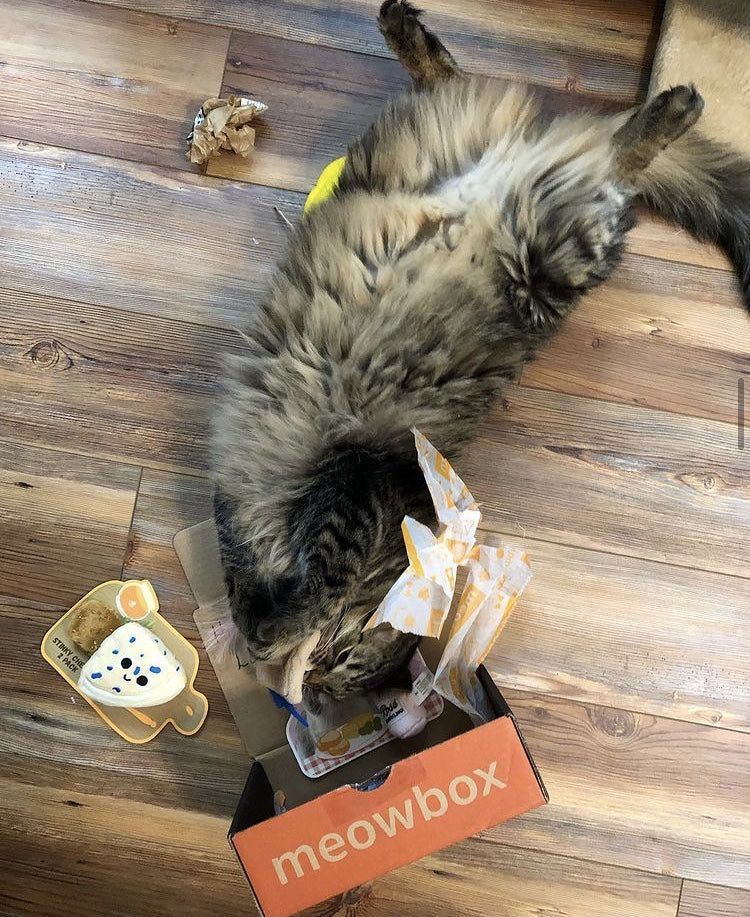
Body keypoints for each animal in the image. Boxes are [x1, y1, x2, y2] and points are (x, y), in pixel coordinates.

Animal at [212, 0, 750, 696]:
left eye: (351, 662)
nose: (321, 680)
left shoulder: (351, 483)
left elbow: (316, 581)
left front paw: (269, 630)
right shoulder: (306, 492)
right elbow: (260, 573)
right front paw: (258, 626)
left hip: (550, 260)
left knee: (611, 163)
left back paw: (676, 104)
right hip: (517, 219)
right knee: (503, 102)